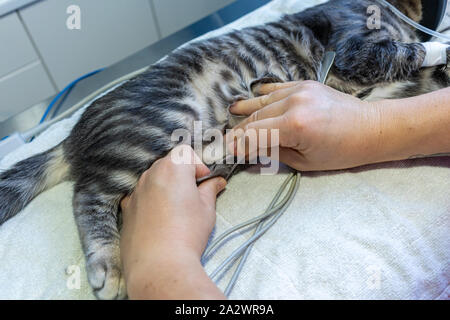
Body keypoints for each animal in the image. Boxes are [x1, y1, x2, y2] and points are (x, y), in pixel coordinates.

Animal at [0, 0, 448, 298]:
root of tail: (75, 133)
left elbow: (422, 77)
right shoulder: (355, 45)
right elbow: (406, 50)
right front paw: (439, 46)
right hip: (164, 122)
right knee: (88, 196)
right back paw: (107, 265)